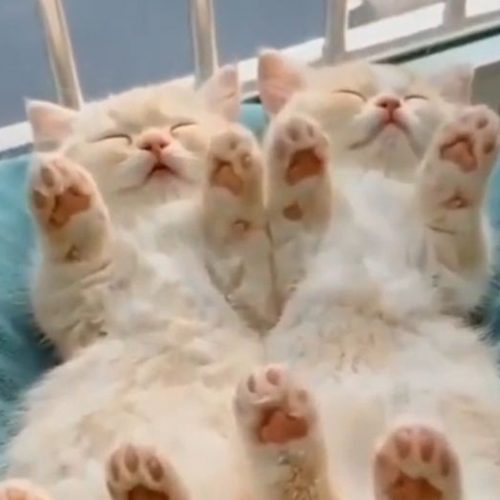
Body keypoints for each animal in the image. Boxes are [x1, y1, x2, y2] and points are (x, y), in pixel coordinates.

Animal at [225, 51, 500, 500]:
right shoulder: (286, 274)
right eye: (351, 93)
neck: (374, 180)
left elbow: (450, 219)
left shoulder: (448, 273)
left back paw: (415, 473)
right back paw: (277, 415)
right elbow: (296, 220)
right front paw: (299, 162)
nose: (390, 103)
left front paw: (462, 152)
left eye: (415, 97)